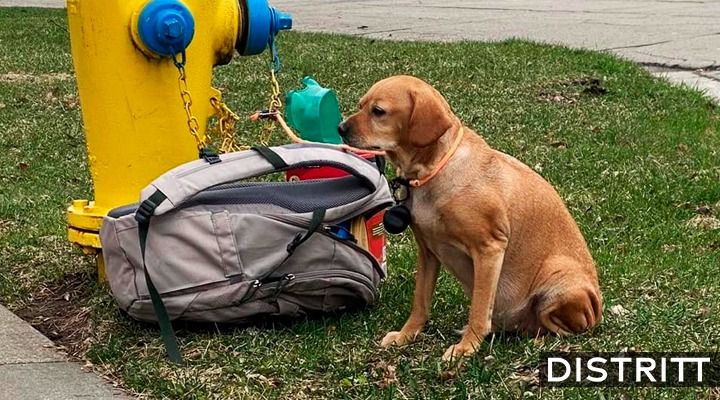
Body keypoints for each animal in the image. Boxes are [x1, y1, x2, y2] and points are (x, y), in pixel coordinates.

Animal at [338, 74, 600, 360]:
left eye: (378, 111)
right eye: (361, 105)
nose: (340, 128)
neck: (433, 170)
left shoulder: (489, 249)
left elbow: (479, 309)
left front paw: (466, 348)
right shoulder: (427, 251)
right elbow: (420, 302)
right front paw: (406, 335)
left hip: (559, 282)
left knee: (561, 327)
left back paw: (538, 340)